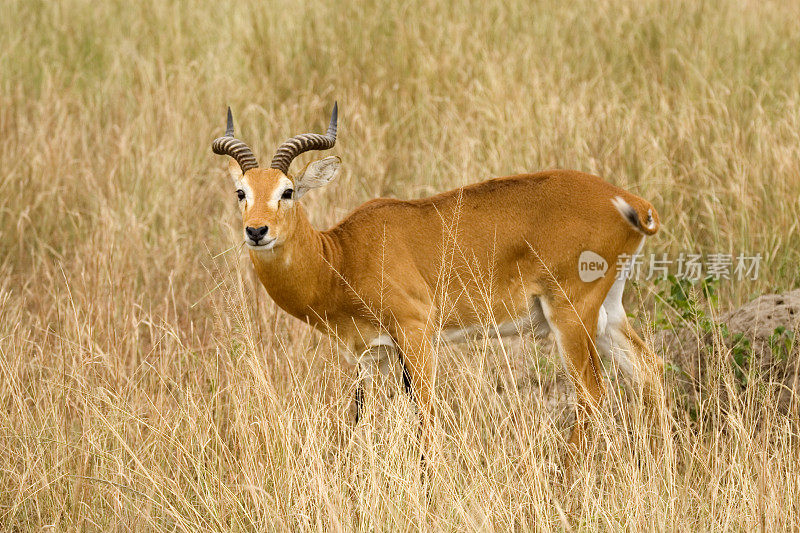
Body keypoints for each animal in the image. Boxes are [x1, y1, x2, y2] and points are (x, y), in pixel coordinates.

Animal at [211, 104, 664, 448]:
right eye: (241, 192)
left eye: (287, 191)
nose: (257, 230)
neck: (341, 256)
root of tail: (628, 200)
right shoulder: (369, 355)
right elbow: (359, 420)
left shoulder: (416, 334)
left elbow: (425, 415)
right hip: (606, 314)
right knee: (650, 371)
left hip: (569, 316)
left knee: (592, 394)